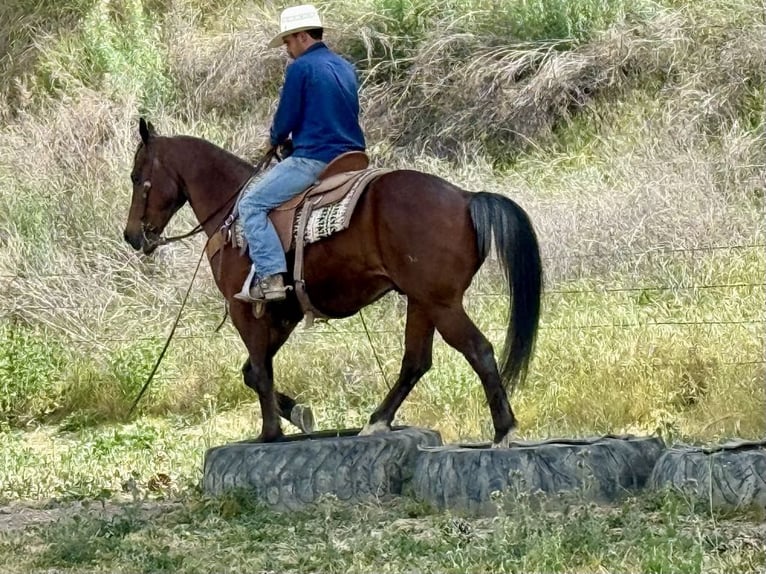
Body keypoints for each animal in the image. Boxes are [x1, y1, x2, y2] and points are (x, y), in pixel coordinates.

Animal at [123, 118, 543, 447]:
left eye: (136, 177)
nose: (131, 236)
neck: (233, 209)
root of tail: (466, 197)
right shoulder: (285, 314)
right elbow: (253, 372)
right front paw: (299, 414)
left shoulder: (245, 308)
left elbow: (258, 370)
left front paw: (270, 432)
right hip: (422, 302)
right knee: (416, 361)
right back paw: (377, 421)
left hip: (442, 303)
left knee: (478, 350)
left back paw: (503, 430)